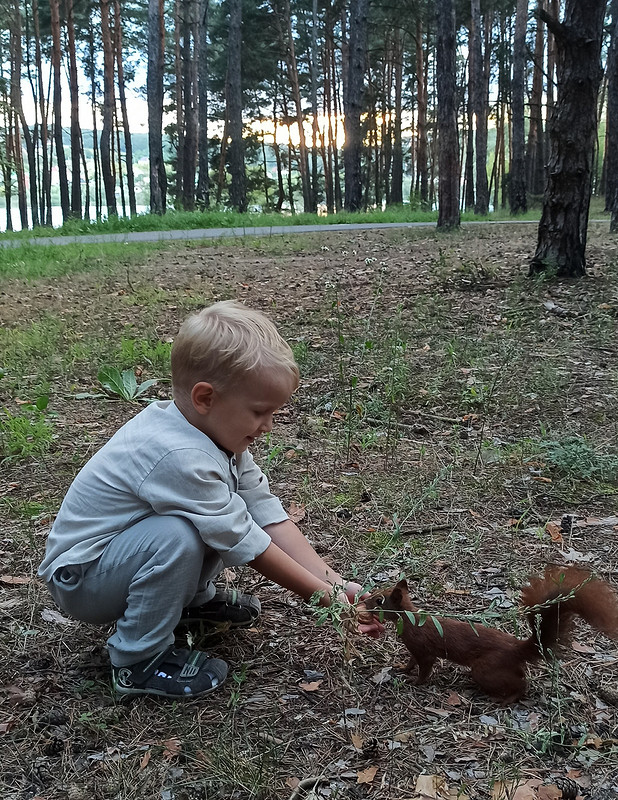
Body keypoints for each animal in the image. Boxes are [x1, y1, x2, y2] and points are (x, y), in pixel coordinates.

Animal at [360, 564, 616, 704]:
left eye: (379, 600)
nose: (364, 602)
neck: (410, 620)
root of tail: (516, 649)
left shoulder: (424, 649)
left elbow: (424, 667)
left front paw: (416, 681)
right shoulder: (414, 649)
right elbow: (411, 661)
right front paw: (403, 668)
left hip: (486, 669)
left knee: (521, 684)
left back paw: (505, 698)